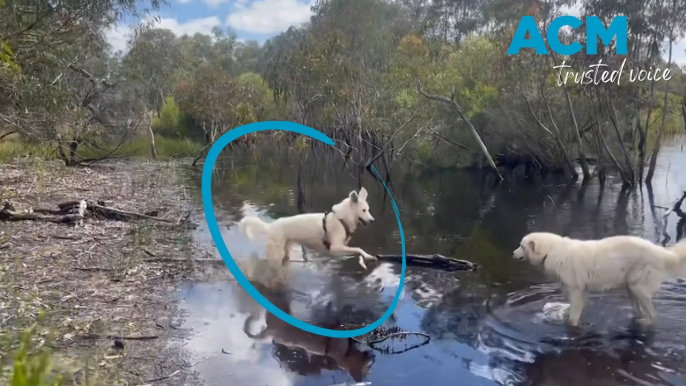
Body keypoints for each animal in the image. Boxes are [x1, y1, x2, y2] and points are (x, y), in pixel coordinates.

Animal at [239, 187, 378, 268]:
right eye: (364, 210)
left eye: (368, 209)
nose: (372, 221)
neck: (341, 219)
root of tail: (271, 226)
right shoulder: (335, 248)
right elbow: (358, 248)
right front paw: (368, 256)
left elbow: (357, 250)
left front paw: (367, 257)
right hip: (276, 255)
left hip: (286, 252)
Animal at [512, 232, 684, 326]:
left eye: (521, 245)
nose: (512, 253)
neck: (550, 251)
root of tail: (663, 253)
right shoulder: (578, 292)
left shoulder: (575, 291)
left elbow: (573, 318)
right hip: (630, 287)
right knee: (639, 310)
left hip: (638, 286)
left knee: (652, 314)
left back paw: (646, 322)